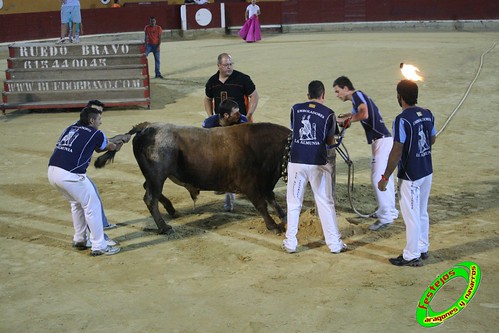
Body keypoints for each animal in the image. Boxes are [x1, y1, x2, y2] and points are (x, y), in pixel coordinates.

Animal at [95, 122, 292, 233]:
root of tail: (147, 128)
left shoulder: (265, 183)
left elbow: (272, 200)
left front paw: (284, 216)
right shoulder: (250, 184)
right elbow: (262, 205)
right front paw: (273, 226)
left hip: (154, 176)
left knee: (148, 190)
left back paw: (172, 210)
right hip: (158, 175)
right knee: (150, 198)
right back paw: (164, 227)